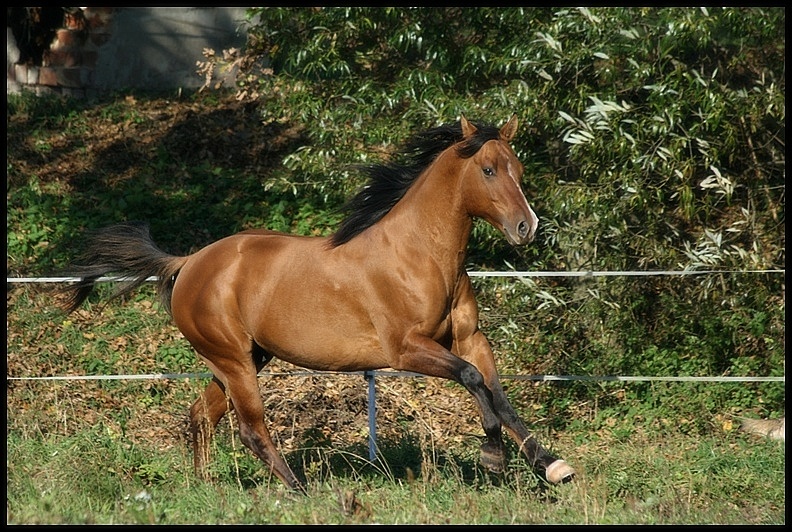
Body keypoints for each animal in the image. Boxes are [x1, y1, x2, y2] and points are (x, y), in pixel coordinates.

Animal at [58, 115, 572, 490]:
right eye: (488, 170)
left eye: (519, 170)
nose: (527, 226)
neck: (419, 255)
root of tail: (189, 262)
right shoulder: (407, 349)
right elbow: (473, 382)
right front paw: (492, 456)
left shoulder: (469, 338)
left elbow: (499, 396)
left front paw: (552, 464)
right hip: (234, 361)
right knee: (251, 430)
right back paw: (300, 492)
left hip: (243, 359)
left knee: (200, 416)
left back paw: (205, 488)